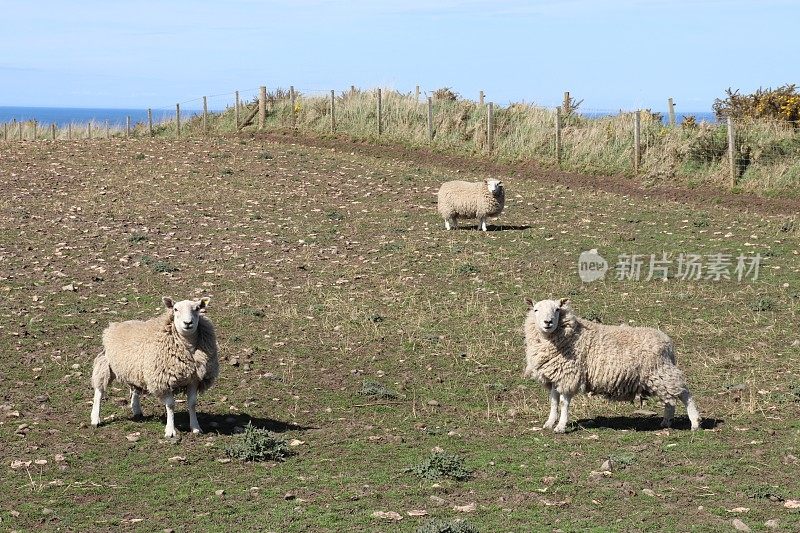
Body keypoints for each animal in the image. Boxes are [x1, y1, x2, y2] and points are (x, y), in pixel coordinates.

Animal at [90, 296, 219, 436]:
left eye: (197, 308)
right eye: (175, 309)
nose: (188, 323)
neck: (186, 346)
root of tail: (114, 326)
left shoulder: (195, 379)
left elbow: (192, 403)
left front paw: (195, 427)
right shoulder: (163, 381)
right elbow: (170, 405)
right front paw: (170, 430)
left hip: (133, 370)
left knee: (134, 389)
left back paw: (137, 410)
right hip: (106, 363)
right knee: (99, 391)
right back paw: (95, 419)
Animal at [520, 298, 696, 430]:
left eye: (557, 309)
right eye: (535, 310)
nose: (548, 322)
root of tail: (668, 343)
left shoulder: (569, 375)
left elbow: (563, 403)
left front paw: (561, 426)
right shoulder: (555, 376)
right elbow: (554, 401)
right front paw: (549, 423)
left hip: (661, 372)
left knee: (684, 394)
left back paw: (694, 422)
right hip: (658, 376)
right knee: (670, 400)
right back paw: (666, 422)